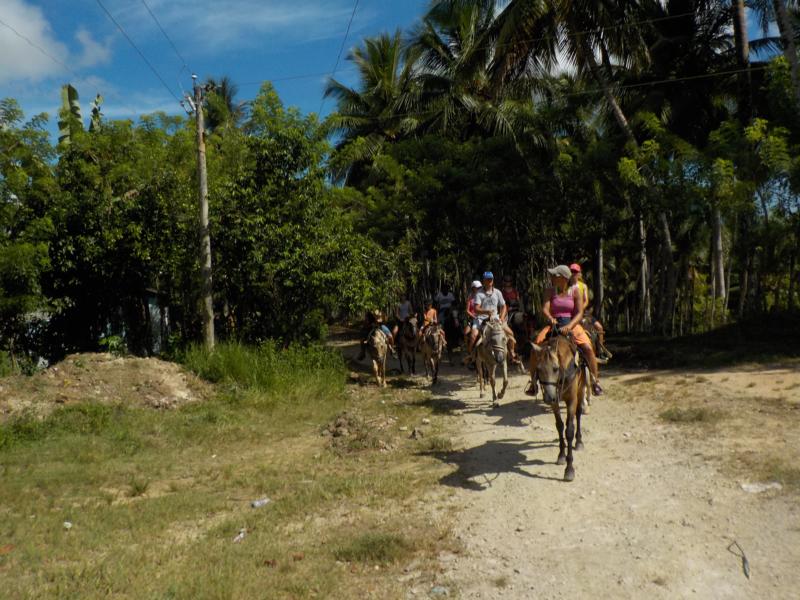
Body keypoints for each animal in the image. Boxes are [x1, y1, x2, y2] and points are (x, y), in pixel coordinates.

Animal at [531, 333, 588, 482]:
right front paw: (561, 455)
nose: (548, 398)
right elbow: (559, 426)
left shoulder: (571, 400)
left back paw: (579, 441)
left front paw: (569, 469)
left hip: (581, 389)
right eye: (538, 369)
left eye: (555, 368)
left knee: (578, 414)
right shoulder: (554, 402)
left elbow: (569, 430)